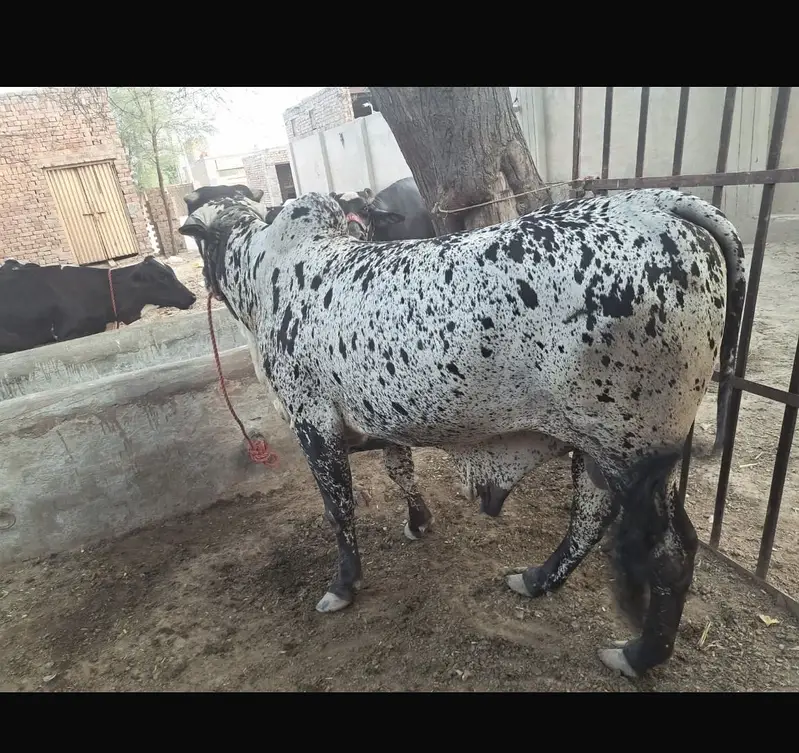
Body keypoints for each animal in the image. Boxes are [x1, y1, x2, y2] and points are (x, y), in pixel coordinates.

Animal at [179, 184, 745, 680]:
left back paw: (637, 654)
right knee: (591, 514)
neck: (266, 275)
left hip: (631, 447)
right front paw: (418, 521)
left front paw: (343, 585)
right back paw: (537, 580)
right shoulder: (382, 419)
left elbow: (339, 511)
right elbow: (399, 470)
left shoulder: (312, 422)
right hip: (602, 447)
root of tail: (657, 203)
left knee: (668, 554)